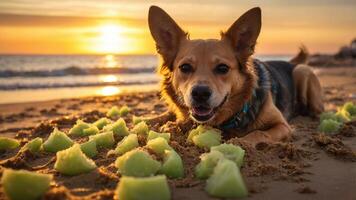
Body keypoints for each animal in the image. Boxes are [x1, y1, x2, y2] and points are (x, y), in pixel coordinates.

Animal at [146, 5, 324, 146]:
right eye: (185, 67)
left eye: (222, 68)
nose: (200, 93)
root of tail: (291, 63)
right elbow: (167, 115)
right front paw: (158, 122)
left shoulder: (282, 126)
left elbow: (258, 133)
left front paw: (241, 142)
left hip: (303, 72)